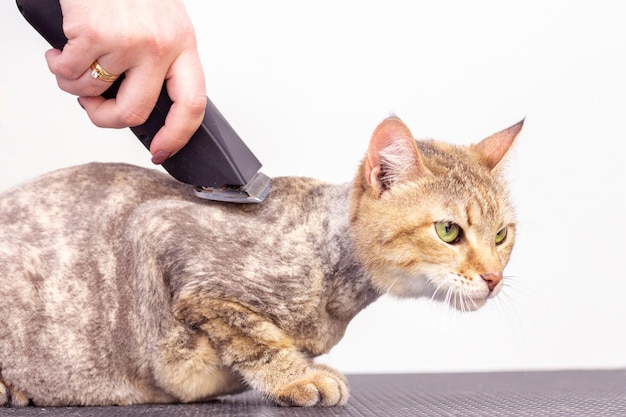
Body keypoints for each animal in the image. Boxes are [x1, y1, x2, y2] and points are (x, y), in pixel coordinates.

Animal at [0, 116, 516, 406]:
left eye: (502, 235)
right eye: (448, 231)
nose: (493, 277)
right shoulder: (157, 230)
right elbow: (254, 336)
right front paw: (296, 377)